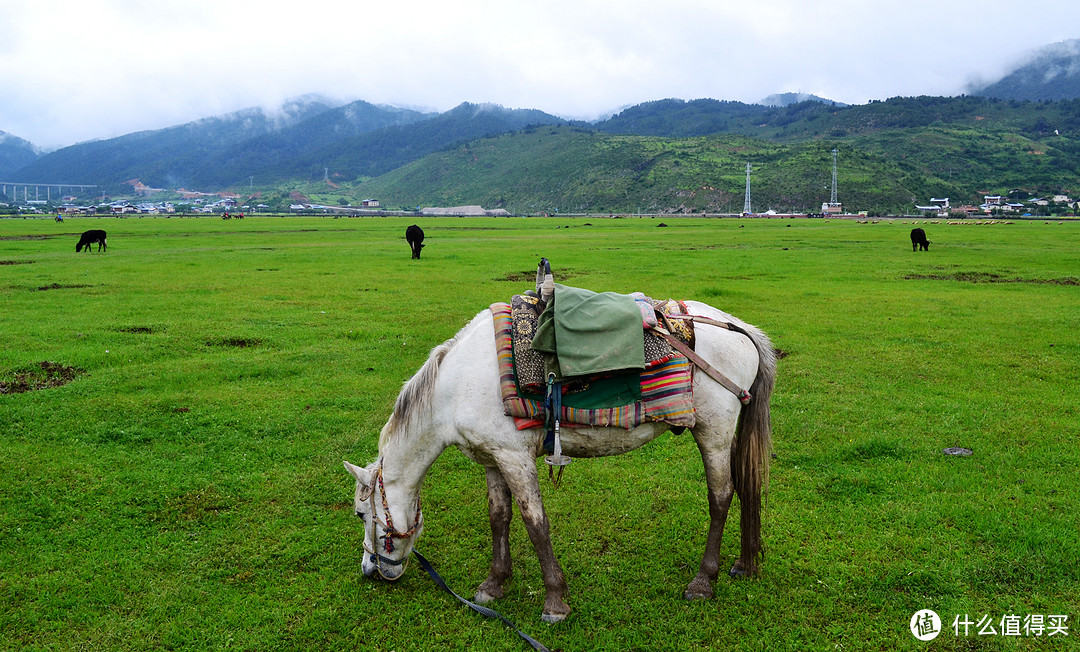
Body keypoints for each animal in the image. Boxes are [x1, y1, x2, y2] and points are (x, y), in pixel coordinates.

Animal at [341, 300, 773, 621]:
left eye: (362, 514)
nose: (371, 571)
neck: (455, 386)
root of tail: (740, 328)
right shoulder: (492, 459)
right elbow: (499, 517)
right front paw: (493, 585)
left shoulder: (515, 457)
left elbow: (535, 523)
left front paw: (555, 602)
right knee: (745, 485)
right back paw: (744, 564)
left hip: (713, 431)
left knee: (721, 496)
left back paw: (703, 582)